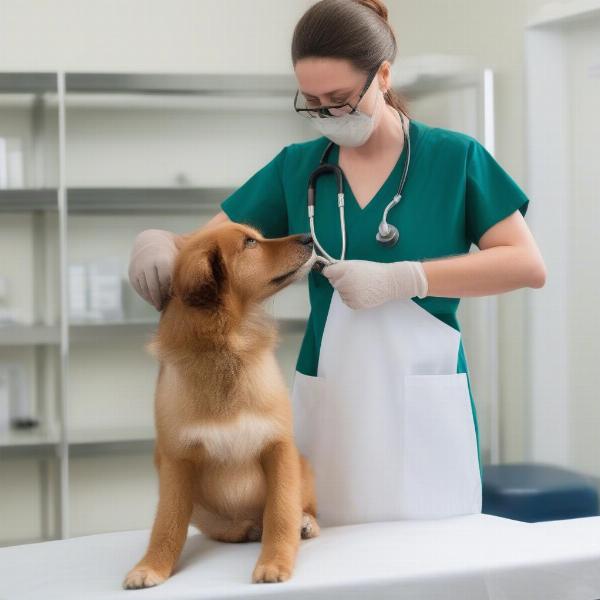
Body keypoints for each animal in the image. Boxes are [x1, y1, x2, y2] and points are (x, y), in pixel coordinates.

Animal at [123, 219, 324, 584]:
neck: (228, 345)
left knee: (300, 508)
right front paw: (151, 566)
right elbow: (167, 525)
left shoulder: (278, 447)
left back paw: (305, 523)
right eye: (249, 244)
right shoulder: (176, 460)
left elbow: (281, 512)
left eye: (257, 236)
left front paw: (275, 562)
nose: (308, 237)